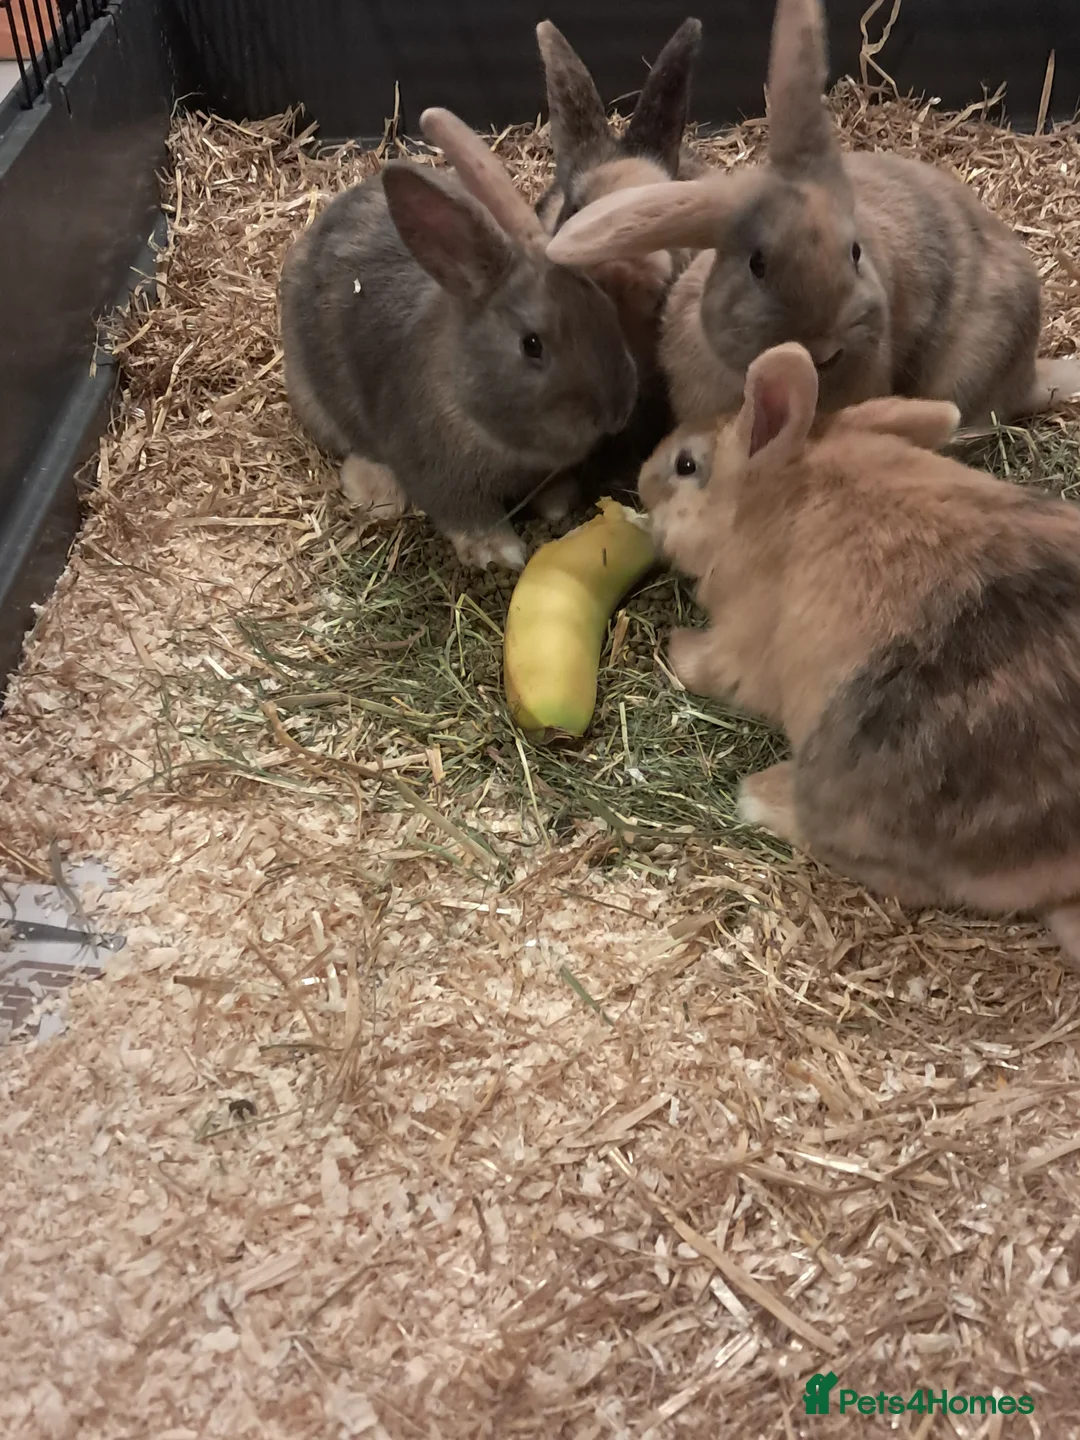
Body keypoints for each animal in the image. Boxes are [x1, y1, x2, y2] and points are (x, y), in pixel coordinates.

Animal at [279, 107, 638, 570]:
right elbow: (467, 515)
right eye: (532, 345)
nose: (614, 413)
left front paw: (559, 508)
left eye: (606, 307)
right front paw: (500, 553)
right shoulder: (439, 475)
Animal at [639, 339, 1080, 966]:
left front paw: (673, 646)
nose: (641, 477)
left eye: (685, 466)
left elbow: (707, 665)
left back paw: (758, 797)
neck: (786, 495)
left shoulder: (741, 644)